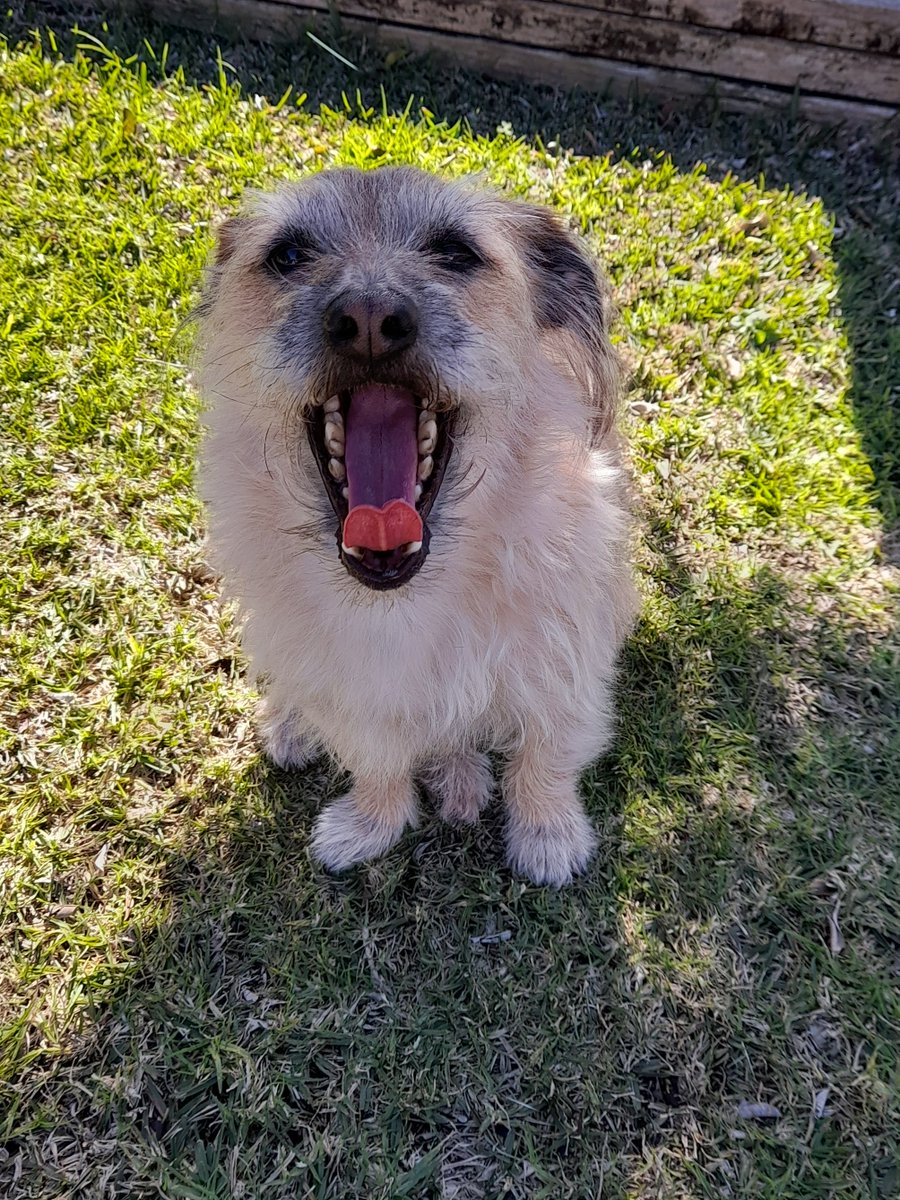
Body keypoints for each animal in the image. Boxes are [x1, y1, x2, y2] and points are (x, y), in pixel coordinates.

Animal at [196, 164, 638, 888]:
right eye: (287, 255)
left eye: (456, 252)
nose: (369, 319)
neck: (406, 601)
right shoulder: (356, 696)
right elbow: (376, 762)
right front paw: (369, 827)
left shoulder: (567, 667)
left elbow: (546, 757)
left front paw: (548, 838)